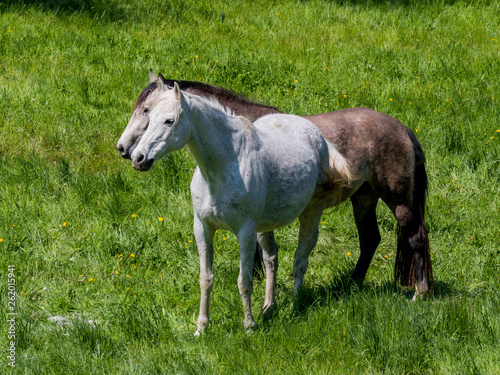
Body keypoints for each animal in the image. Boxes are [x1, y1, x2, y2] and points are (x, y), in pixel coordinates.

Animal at [117, 71, 434, 300]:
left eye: (148, 111)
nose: (126, 151)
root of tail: (403, 129)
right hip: (364, 198)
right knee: (370, 239)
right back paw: (351, 284)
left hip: (397, 201)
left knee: (416, 237)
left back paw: (420, 292)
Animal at [131, 79, 350, 334]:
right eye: (149, 116)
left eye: (169, 121)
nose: (138, 158)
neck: (223, 167)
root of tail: (317, 135)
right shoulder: (203, 228)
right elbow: (206, 279)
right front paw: (201, 328)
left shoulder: (245, 232)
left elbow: (244, 281)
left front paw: (249, 326)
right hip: (265, 227)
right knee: (271, 259)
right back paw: (268, 307)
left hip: (311, 213)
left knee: (300, 259)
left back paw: (295, 308)